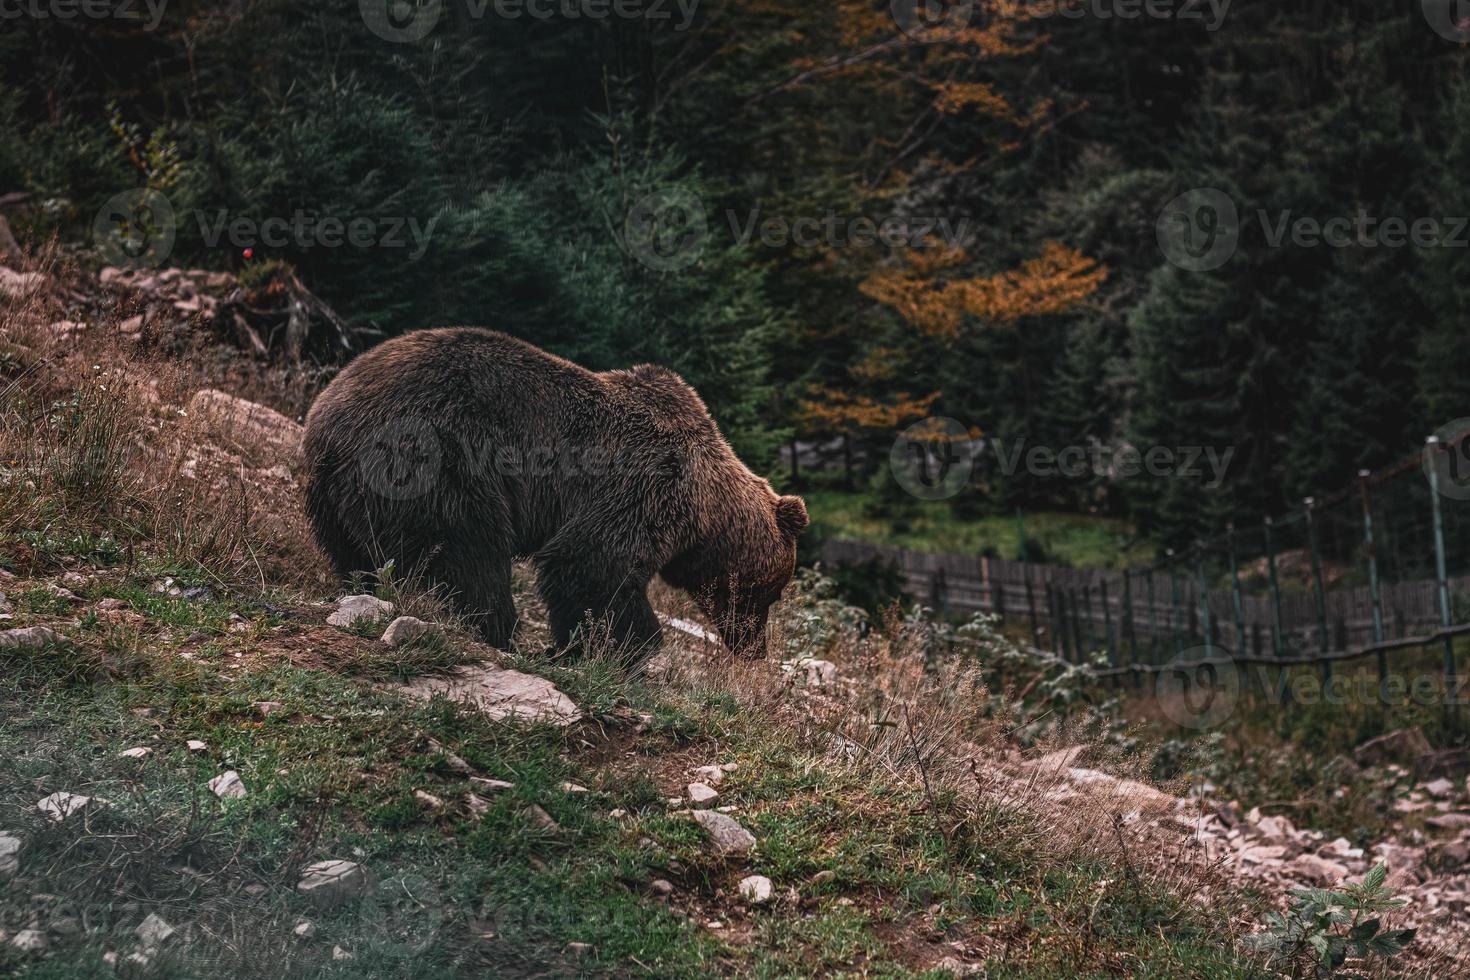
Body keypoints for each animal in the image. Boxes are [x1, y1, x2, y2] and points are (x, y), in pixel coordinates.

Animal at [304, 327, 811, 658]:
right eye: (771, 591)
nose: (753, 647)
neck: (707, 514)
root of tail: (328, 416)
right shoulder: (643, 486)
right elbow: (589, 565)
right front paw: (626, 646)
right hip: (435, 459)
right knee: (466, 553)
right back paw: (499, 632)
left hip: (332, 498)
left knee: (355, 554)